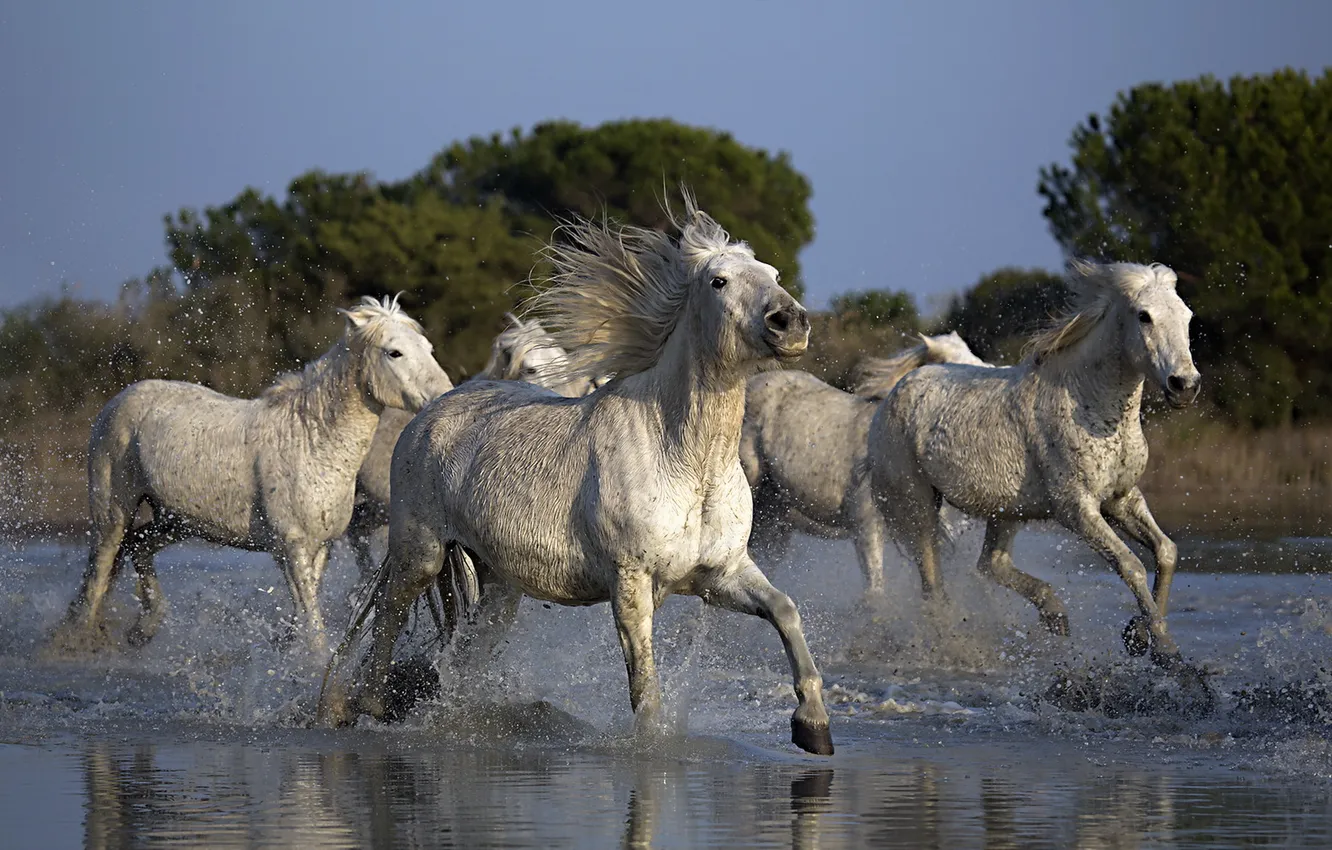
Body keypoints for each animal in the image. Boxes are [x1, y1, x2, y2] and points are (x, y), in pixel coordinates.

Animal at [53, 296, 453, 653]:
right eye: (394, 352)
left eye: (429, 348)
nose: (444, 396)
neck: (311, 440)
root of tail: (118, 401)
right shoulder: (292, 546)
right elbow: (313, 624)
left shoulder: (318, 547)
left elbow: (304, 613)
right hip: (113, 513)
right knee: (99, 575)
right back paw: (82, 642)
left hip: (178, 521)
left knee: (138, 546)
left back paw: (144, 629)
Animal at [866, 260, 1201, 667]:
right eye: (1144, 316)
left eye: (1187, 316)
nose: (1185, 385)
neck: (1088, 403)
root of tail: (898, 390)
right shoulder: (1077, 509)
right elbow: (1131, 565)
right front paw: (1165, 649)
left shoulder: (1121, 498)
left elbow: (1166, 552)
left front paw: (1138, 635)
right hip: (918, 507)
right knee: (934, 584)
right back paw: (953, 646)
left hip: (1005, 511)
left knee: (991, 564)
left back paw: (1055, 616)